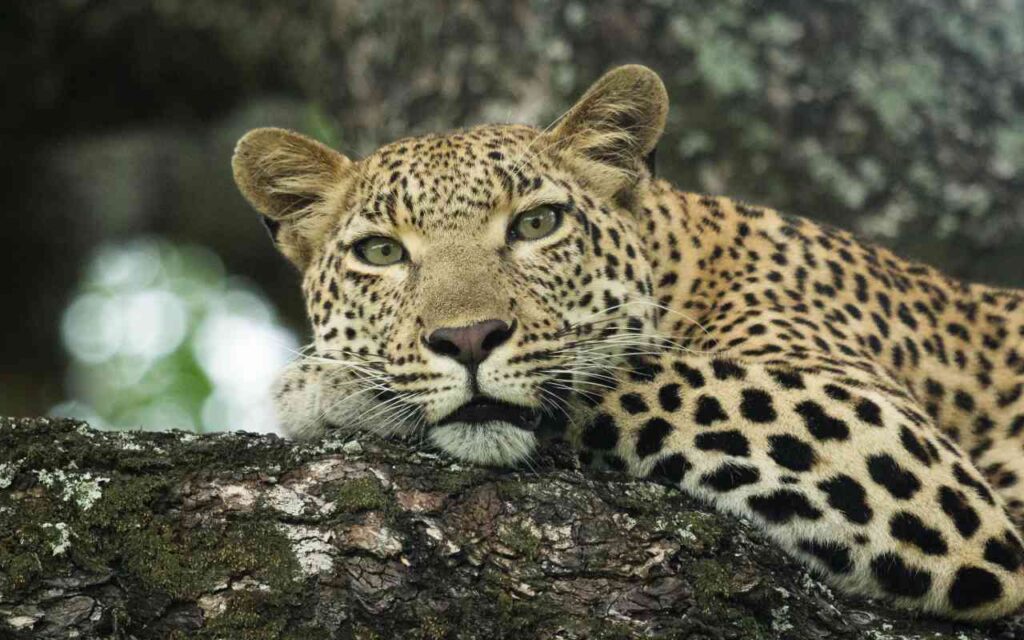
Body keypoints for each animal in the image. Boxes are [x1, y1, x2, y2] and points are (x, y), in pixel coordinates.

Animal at [231, 65, 1024, 621]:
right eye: (381, 252)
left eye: (537, 224)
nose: (468, 339)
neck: (686, 263)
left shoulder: (897, 444)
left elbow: (629, 372)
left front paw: (328, 387)